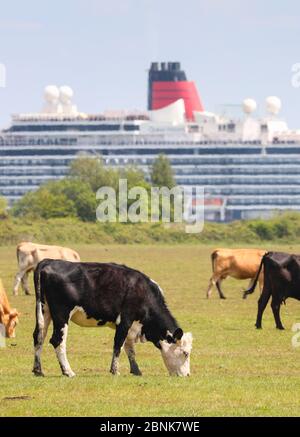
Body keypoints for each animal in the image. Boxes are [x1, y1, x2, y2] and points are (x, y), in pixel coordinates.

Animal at [32, 258, 192, 376]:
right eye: (185, 353)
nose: (187, 375)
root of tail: (48, 261)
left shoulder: (132, 326)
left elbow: (129, 348)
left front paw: (136, 371)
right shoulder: (125, 320)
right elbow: (118, 345)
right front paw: (115, 370)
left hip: (44, 311)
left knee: (39, 337)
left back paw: (38, 370)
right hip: (62, 314)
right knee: (57, 340)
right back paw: (68, 371)